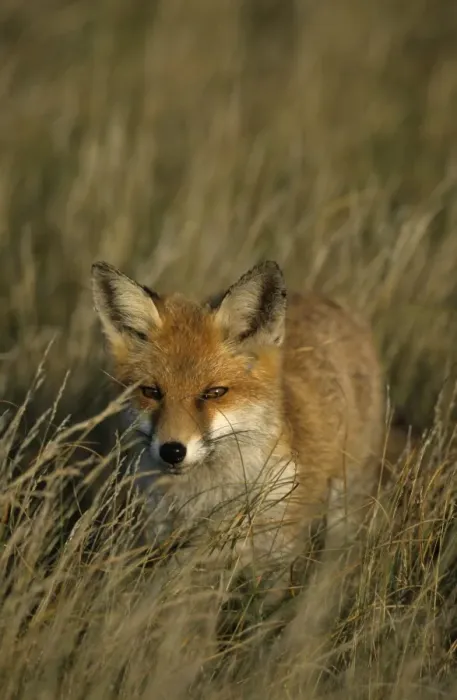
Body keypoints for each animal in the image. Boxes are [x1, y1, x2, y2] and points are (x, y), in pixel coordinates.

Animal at [91, 260, 385, 585]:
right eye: (151, 392)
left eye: (214, 393)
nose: (172, 451)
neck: (207, 499)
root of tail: (324, 298)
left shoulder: (277, 560)